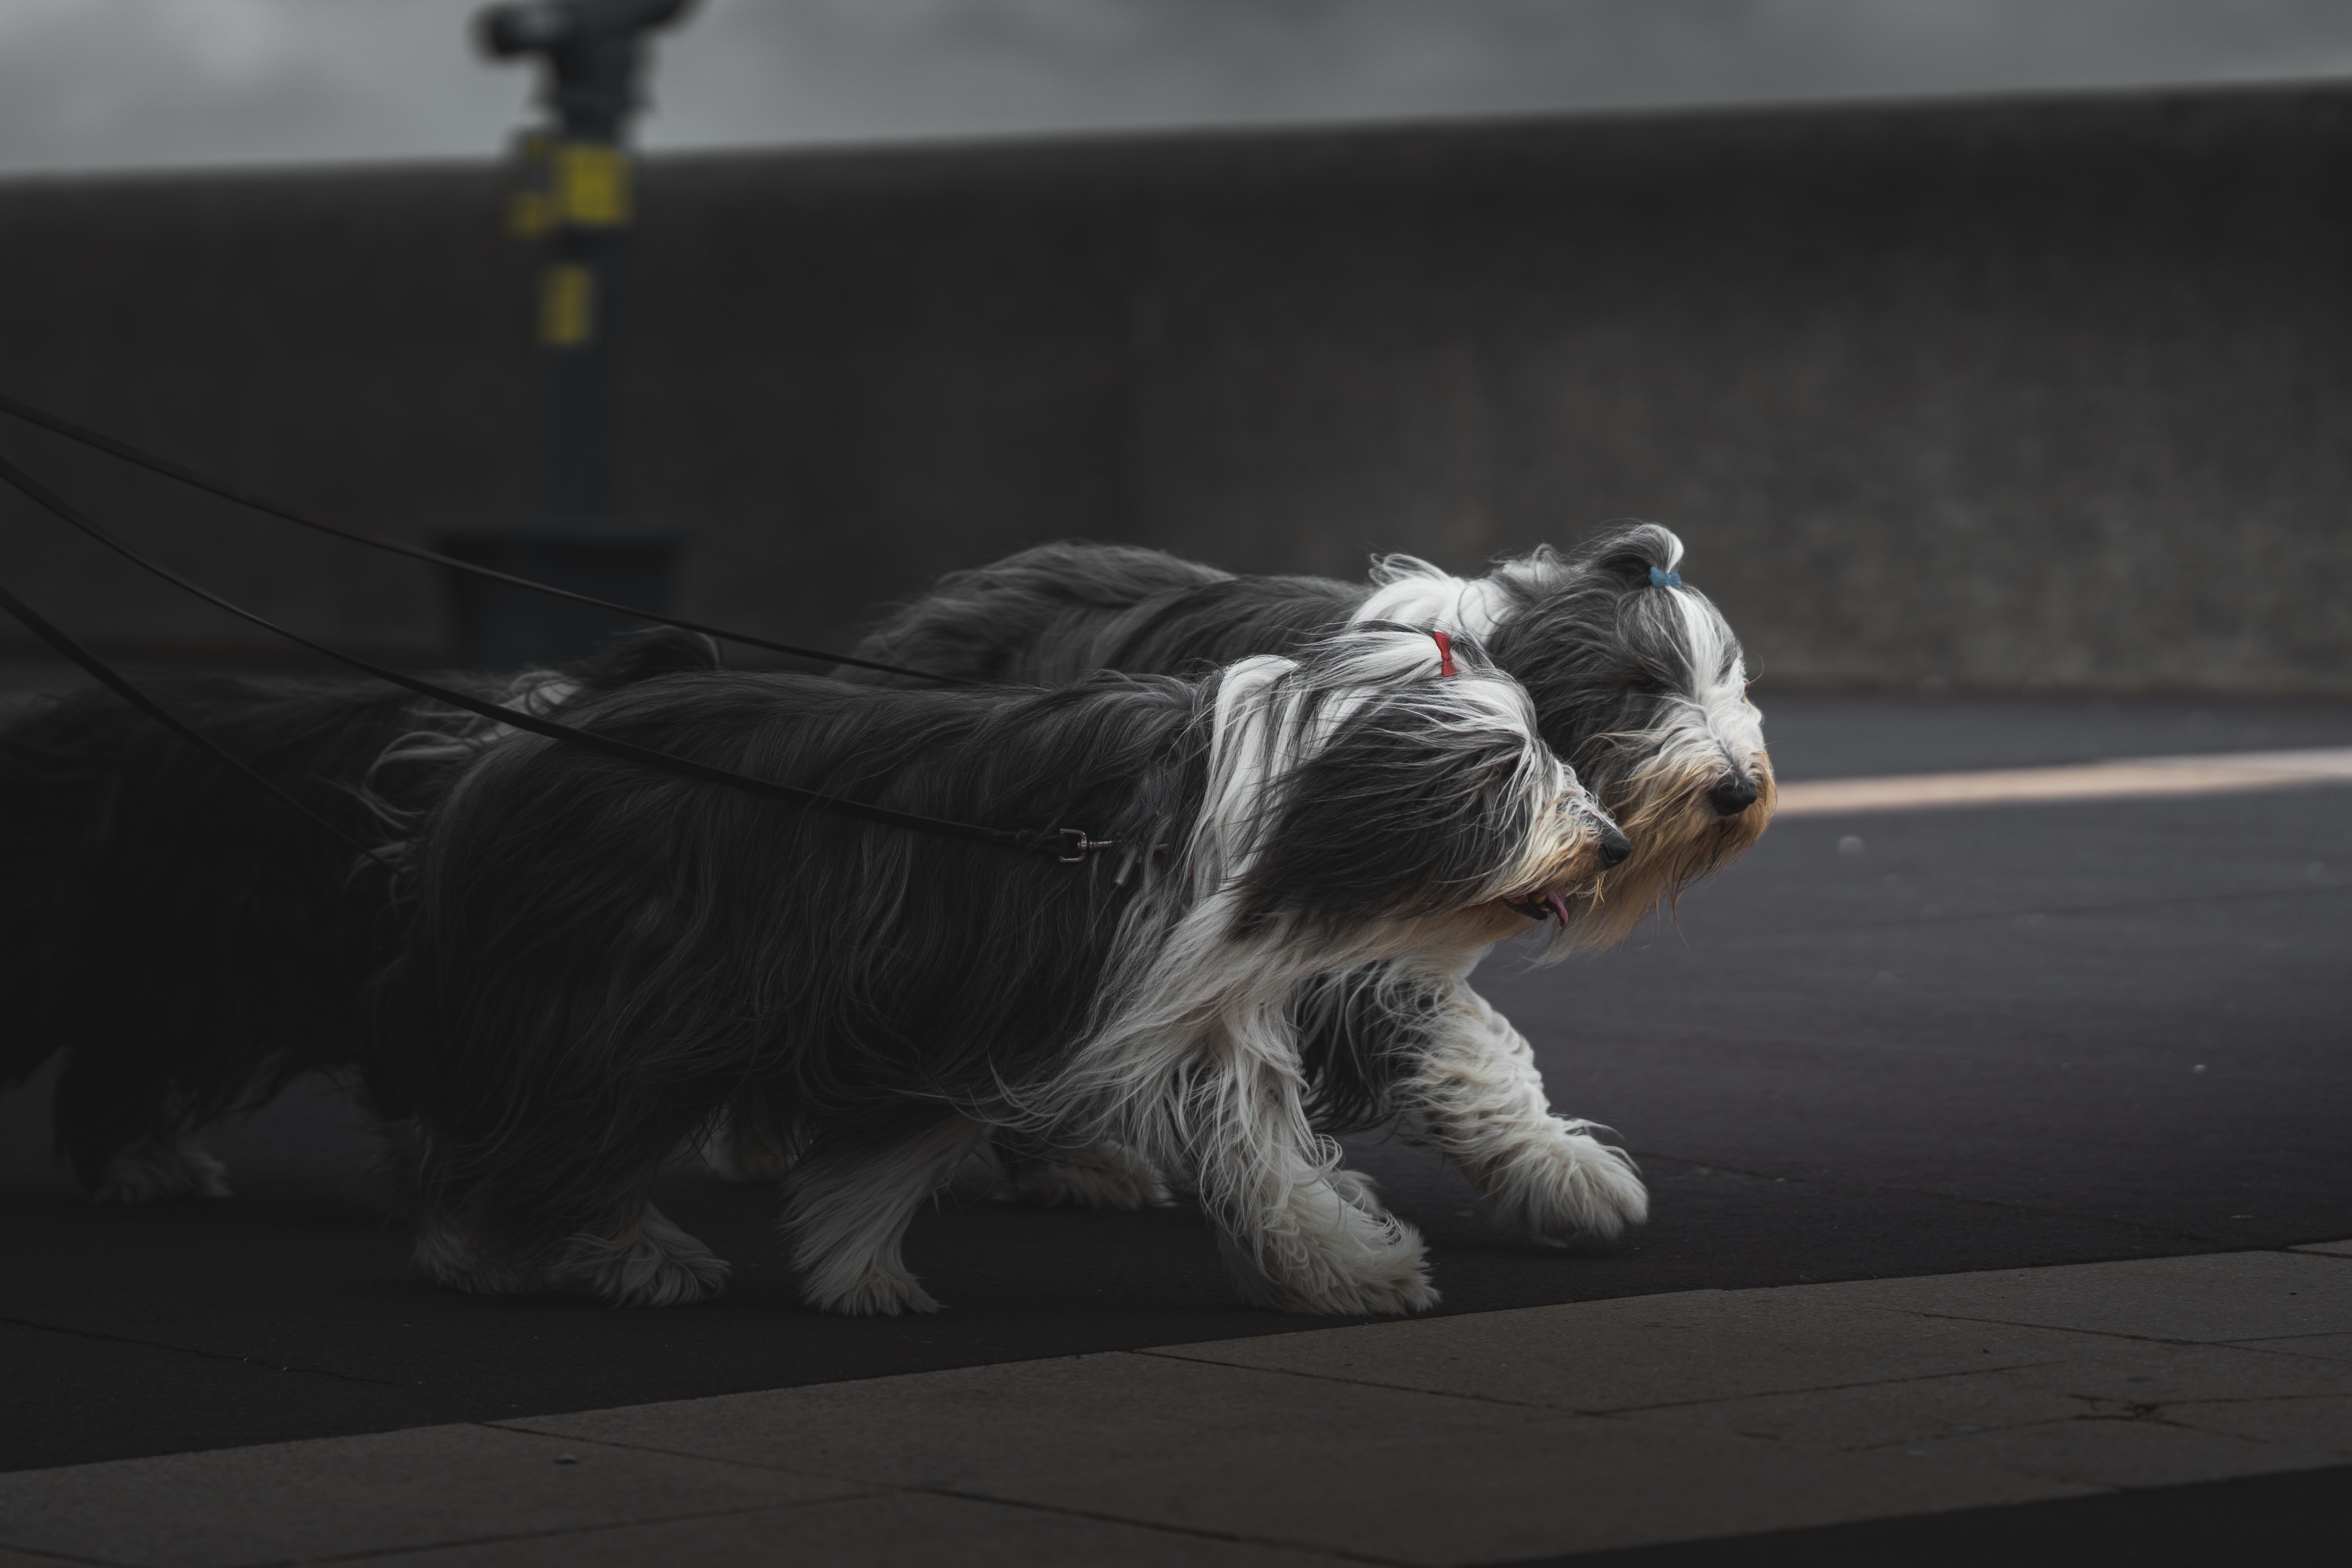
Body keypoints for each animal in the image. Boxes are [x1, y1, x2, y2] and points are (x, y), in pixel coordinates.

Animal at [362, 620, 1637, 1316]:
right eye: (1512, 772)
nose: (1612, 844)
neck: (1264, 806)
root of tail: (525, 735)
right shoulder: (1005, 990)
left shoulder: (1100, 1009)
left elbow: (1260, 1155)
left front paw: (1339, 1269)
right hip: (630, 992)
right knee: (564, 1122)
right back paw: (577, 1248)